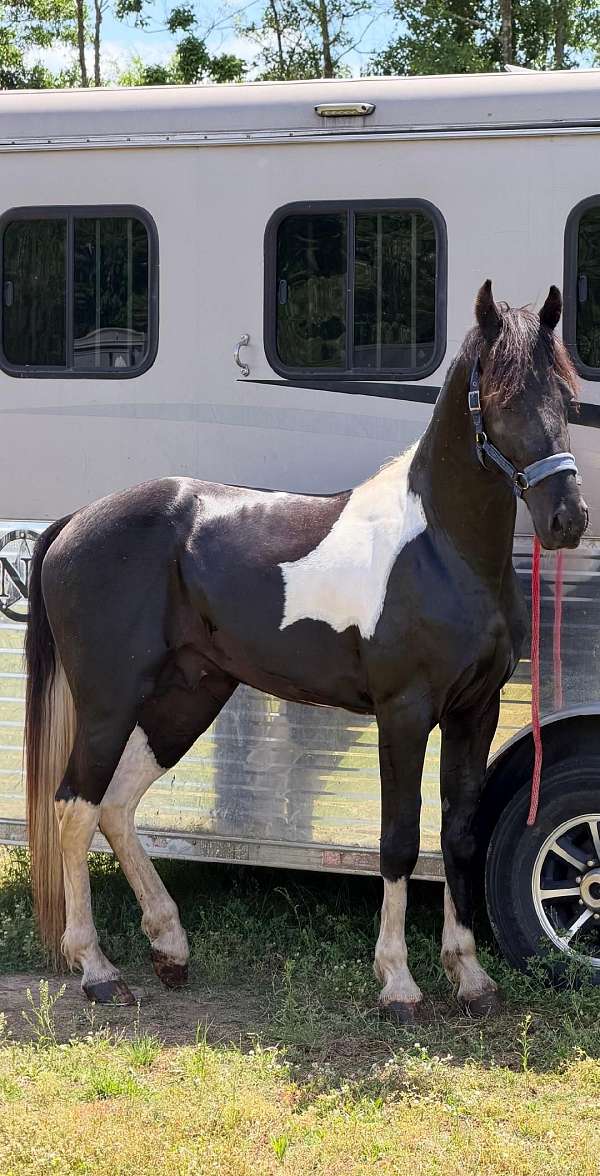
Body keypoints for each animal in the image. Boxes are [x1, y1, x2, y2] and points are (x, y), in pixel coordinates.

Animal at [24, 280, 588, 1022]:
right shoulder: (404, 713)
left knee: (116, 805)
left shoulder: (477, 711)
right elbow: (399, 841)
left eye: (566, 397)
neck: (443, 551)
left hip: (188, 695)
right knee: (75, 805)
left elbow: (459, 837)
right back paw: (97, 970)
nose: (568, 519)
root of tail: (76, 521)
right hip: (108, 701)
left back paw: (170, 948)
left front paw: (470, 977)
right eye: (501, 397)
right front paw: (399, 984)